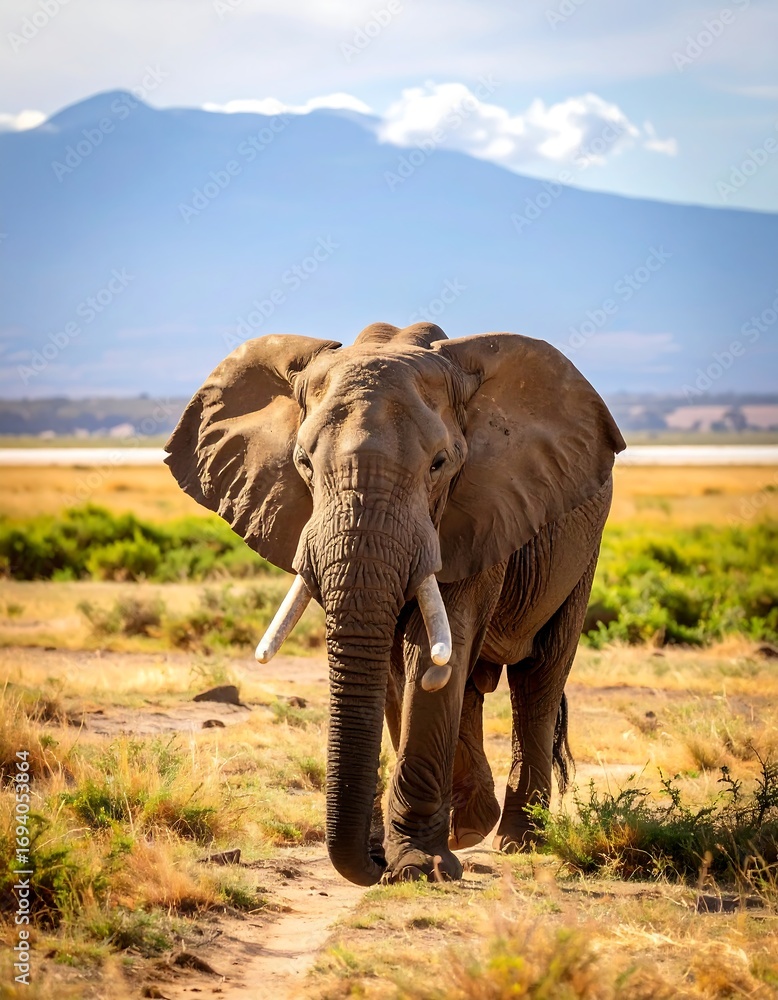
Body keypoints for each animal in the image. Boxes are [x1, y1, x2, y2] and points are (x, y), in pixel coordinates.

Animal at [164, 321, 625, 886]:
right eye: (302, 464)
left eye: (440, 464)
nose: (372, 861)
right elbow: (392, 666)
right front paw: (414, 853)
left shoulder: (476, 511)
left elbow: (432, 649)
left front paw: (419, 867)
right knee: (468, 684)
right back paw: (470, 826)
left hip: (583, 549)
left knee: (538, 678)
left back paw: (519, 841)